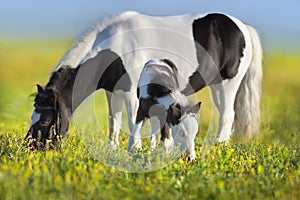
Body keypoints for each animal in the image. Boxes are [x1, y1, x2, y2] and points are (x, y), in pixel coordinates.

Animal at [25, 11, 262, 152]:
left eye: (45, 122)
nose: (29, 149)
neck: (115, 48)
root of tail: (242, 27)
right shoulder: (113, 93)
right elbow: (114, 122)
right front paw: (114, 149)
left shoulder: (131, 93)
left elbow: (133, 120)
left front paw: (136, 148)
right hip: (215, 86)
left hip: (229, 83)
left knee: (227, 115)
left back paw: (218, 146)